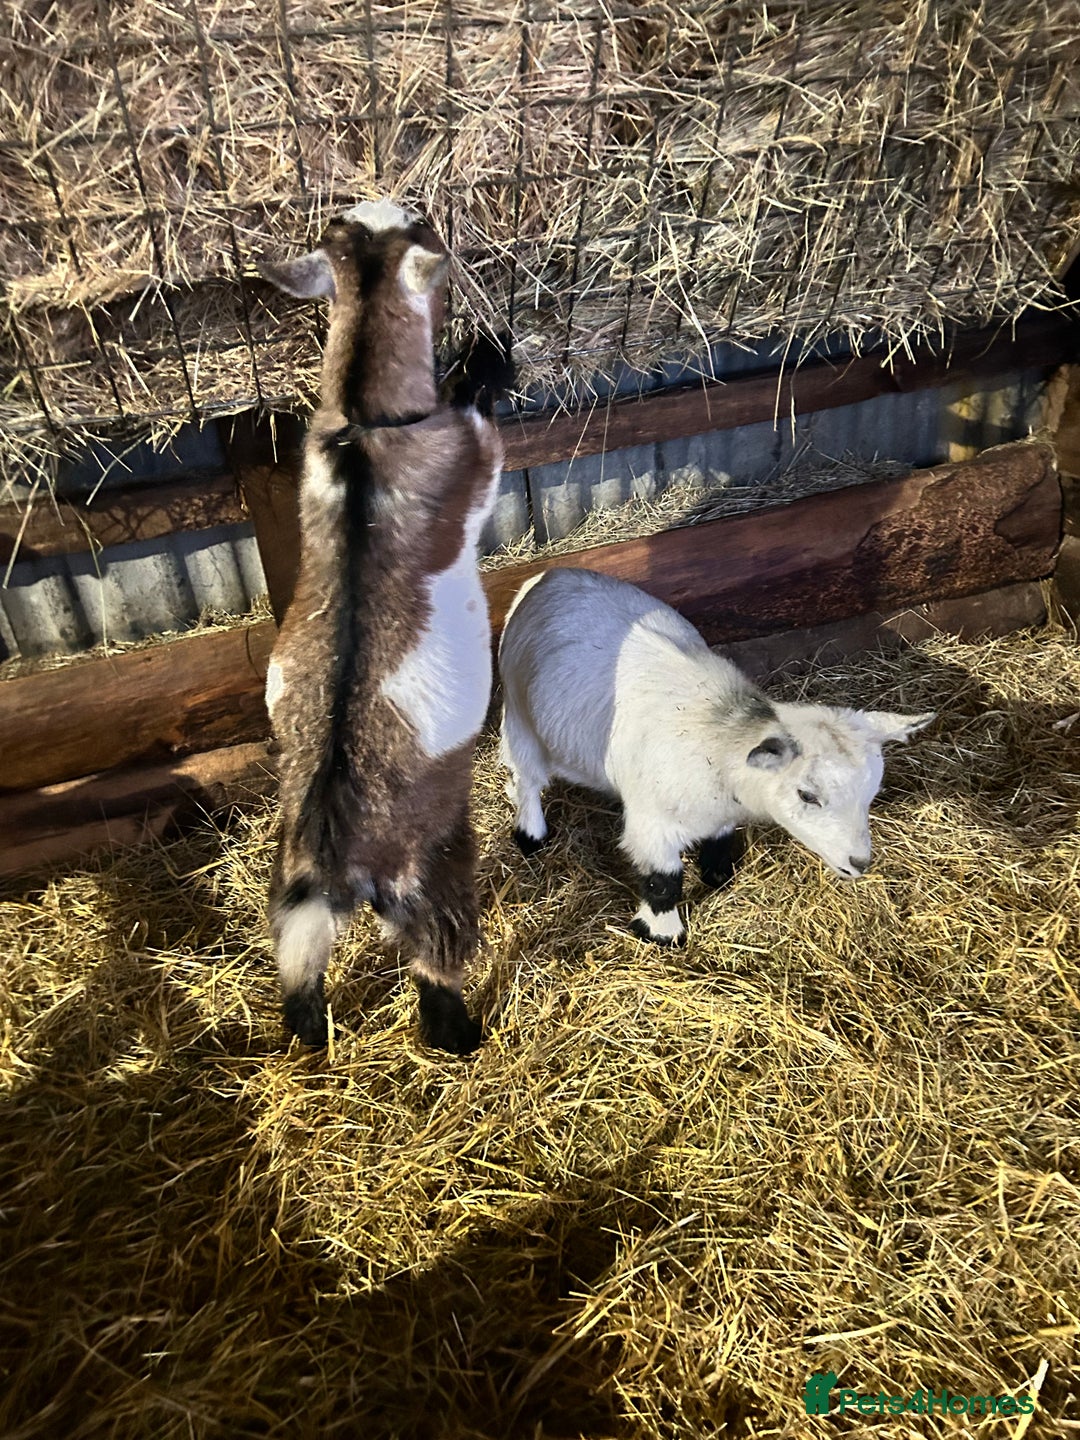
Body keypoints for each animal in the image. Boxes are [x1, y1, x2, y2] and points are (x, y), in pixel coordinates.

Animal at [259, 199, 512, 1052]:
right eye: (424, 227)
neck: (364, 423)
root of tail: (341, 860)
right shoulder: (473, 458)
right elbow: (485, 428)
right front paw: (490, 360)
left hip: (290, 891)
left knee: (299, 968)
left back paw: (309, 1038)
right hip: (434, 865)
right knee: (439, 958)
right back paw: (461, 1037)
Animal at [498, 568, 934, 944]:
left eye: (872, 794)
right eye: (807, 795)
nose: (860, 863)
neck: (722, 740)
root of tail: (549, 575)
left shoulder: (719, 809)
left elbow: (720, 838)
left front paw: (717, 871)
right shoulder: (651, 827)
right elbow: (664, 881)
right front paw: (663, 933)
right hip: (519, 718)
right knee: (526, 780)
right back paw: (531, 835)